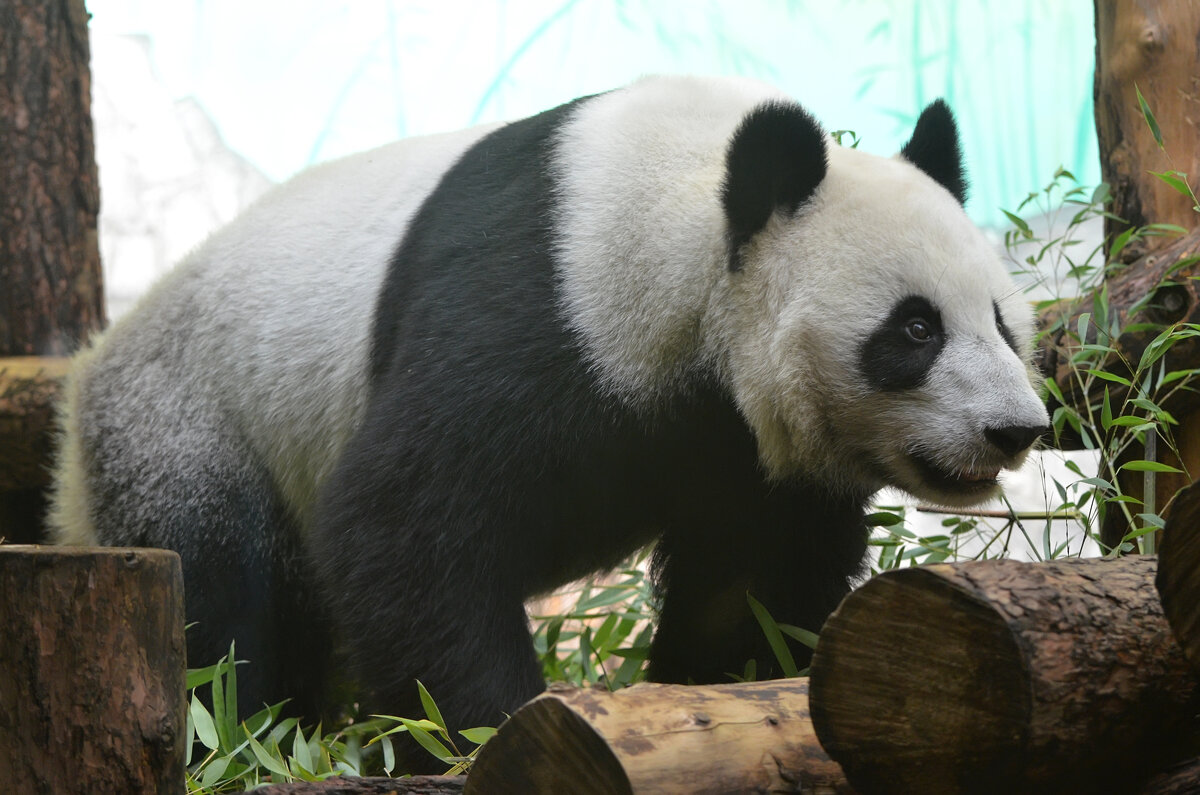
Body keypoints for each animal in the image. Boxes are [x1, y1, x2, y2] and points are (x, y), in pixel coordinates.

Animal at [46, 74, 1046, 734]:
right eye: (914, 328)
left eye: (1001, 320)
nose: (1016, 429)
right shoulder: (542, 307)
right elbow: (402, 519)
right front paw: (486, 724)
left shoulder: (739, 451)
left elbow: (753, 579)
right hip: (189, 416)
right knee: (220, 600)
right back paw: (245, 730)